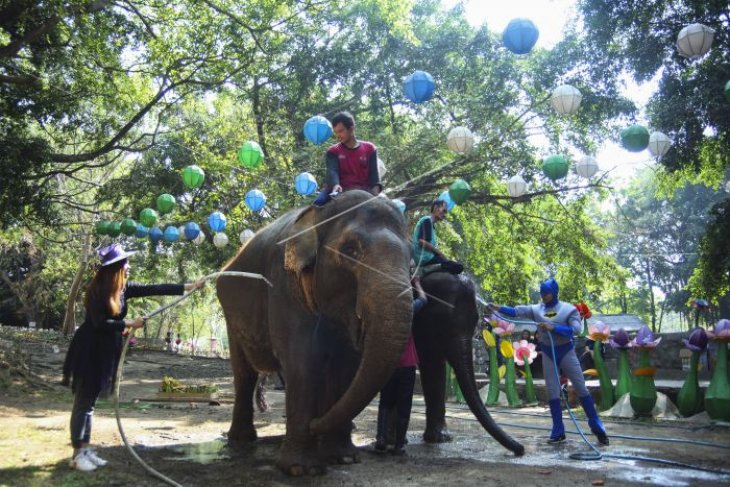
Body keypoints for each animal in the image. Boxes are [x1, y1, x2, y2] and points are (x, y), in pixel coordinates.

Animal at [213, 192, 412, 476]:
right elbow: (303, 361)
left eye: (412, 261)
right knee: (244, 373)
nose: (314, 424)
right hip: (231, 315)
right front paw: (301, 469)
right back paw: (242, 439)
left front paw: (343, 458)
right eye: (350, 250)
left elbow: (346, 366)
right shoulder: (283, 284)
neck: (321, 214)